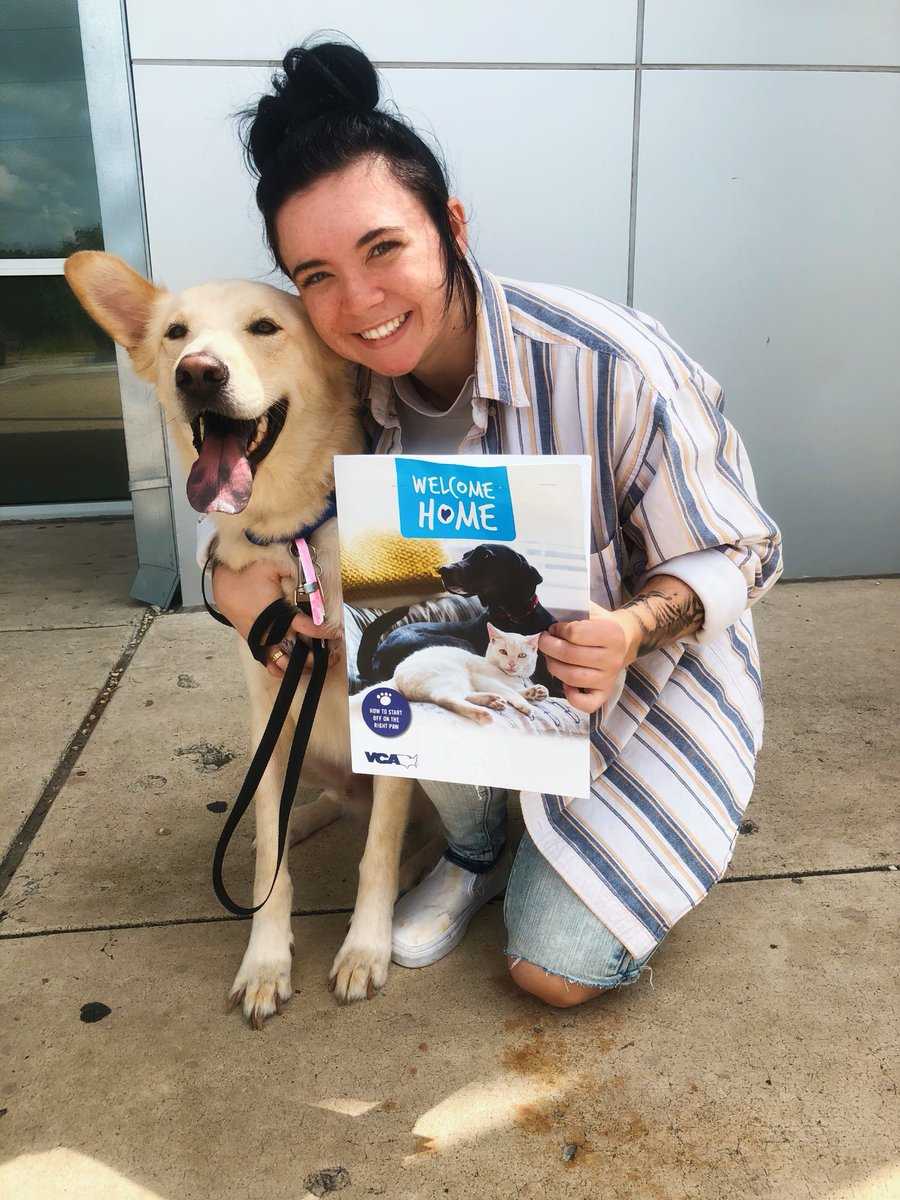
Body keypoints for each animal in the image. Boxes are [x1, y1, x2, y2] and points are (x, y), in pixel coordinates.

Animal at [65, 248, 434, 1027]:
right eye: (175, 333)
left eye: (265, 327)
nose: (198, 373)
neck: (294, 538)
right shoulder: (268, 704)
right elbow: (270, 859)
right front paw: (266, 961)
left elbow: (378, 854)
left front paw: (365, 947)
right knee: (310, 807)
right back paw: (302, 820)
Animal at [360, 542, 564, 696]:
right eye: (465, 555)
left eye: (486, 556)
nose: (442, 569)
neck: (515, 617)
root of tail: (376, 658)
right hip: (459, 645)